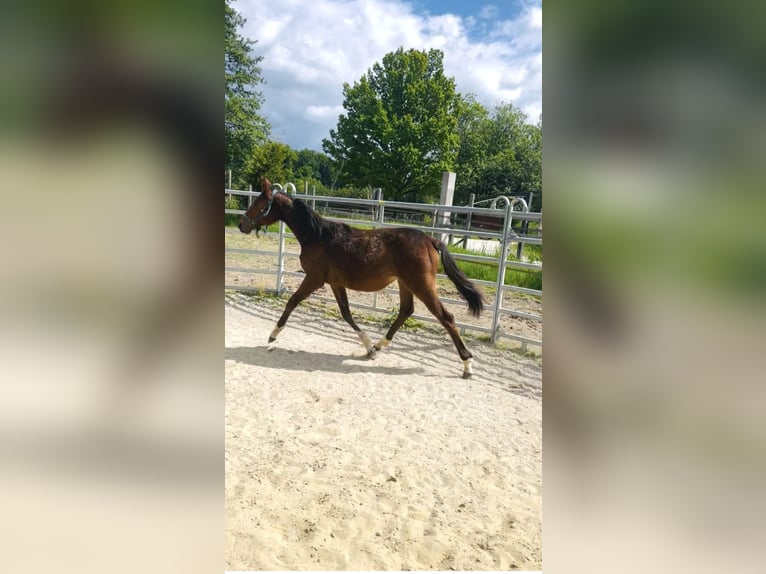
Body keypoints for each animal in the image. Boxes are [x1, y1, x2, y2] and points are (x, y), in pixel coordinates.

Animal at [238, 178, 487, 378]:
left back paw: (467, 365)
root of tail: (430, 240)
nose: (242, 225)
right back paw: (378, 347)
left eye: (259, 203)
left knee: (446, 317)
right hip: (405, 283)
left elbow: (292, 302)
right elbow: (346, 313)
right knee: (406, 311)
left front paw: (273, 335)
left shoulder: (314, 279)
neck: (318, 236)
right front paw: (367, 347)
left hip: (421, 285)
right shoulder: (335, 283)